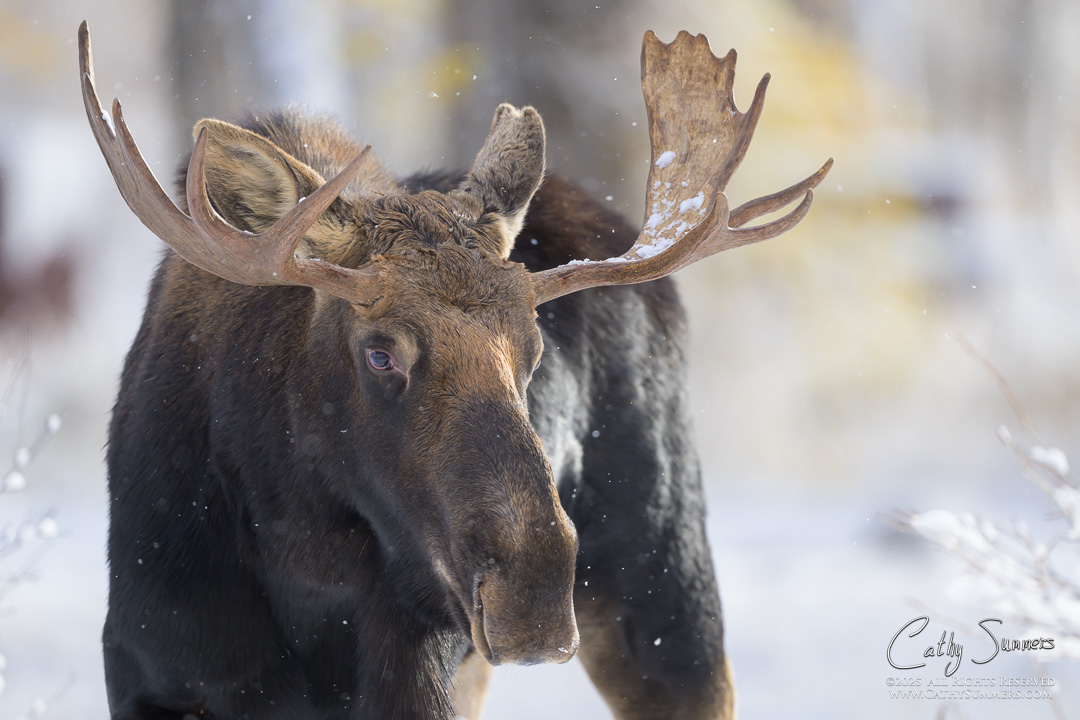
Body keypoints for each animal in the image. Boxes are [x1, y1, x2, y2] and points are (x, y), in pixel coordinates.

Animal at [79, 19, 830, 720]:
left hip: (667, 590)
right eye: (380, 352)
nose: (533, 596)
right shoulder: (147, 675)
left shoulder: (416, 680)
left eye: (533, 351)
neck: (299, 553)